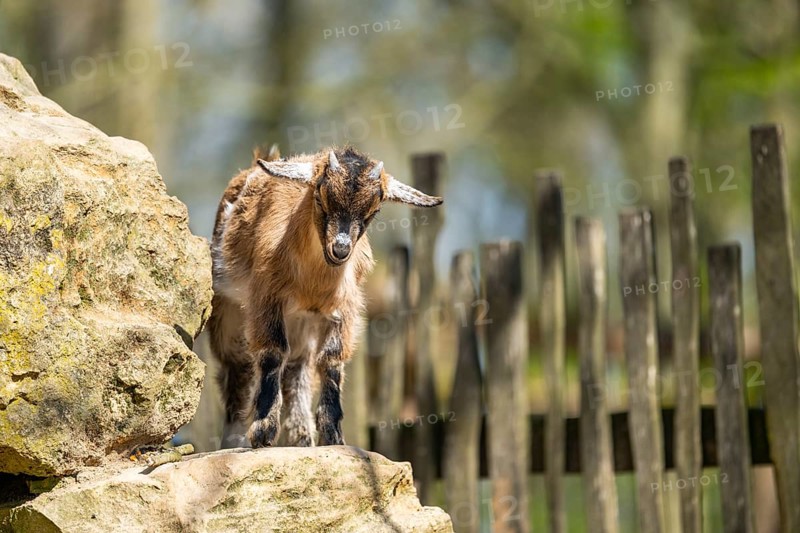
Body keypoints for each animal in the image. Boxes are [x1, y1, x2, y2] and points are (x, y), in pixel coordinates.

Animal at [208, 145, 443, 448]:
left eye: (374, 210)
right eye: (320, 196)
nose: (340, 249)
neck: (312, 283)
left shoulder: (344, 309)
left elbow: (330, 359)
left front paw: (333, 435)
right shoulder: (265, 299)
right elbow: (272, 351)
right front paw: (262, 432)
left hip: (300, 324)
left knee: (297, 370)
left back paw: (302, 439)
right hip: (229, 316)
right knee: (238, 368)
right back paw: (234, 440)